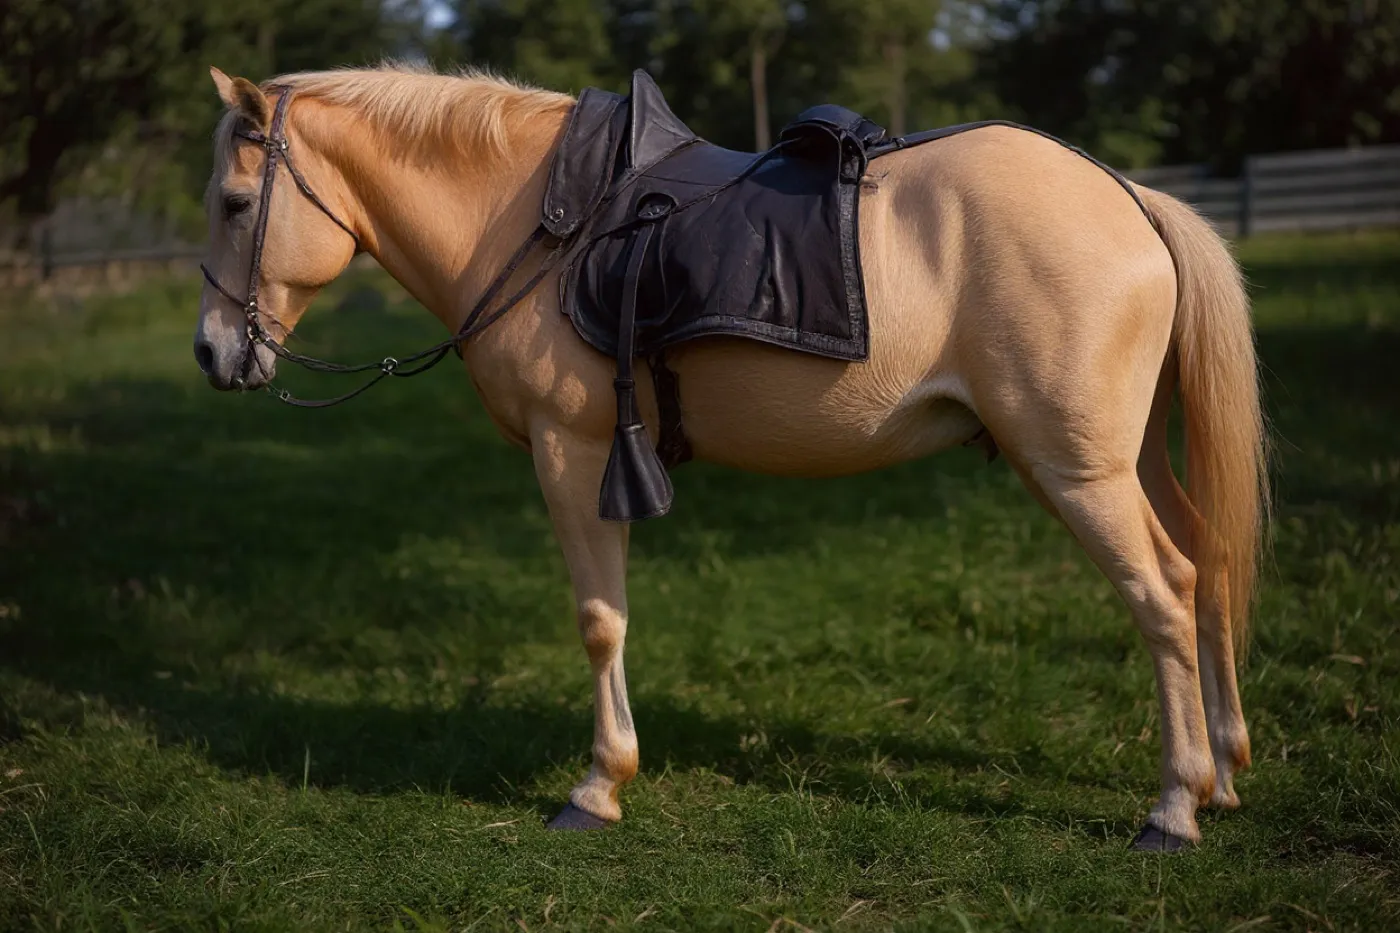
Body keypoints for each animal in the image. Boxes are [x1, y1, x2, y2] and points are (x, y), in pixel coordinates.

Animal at [195, 63, 1268, 850]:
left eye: (237, 204)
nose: (210, 353)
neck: (537, 220)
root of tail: (1129, 198)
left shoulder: (570, 452)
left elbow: (599, 620)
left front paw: (599, 785)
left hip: (1079, 469)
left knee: (1163, 591)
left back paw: (1175, 804)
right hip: (1125, 459)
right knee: (1207, 562)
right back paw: (1221, 771)